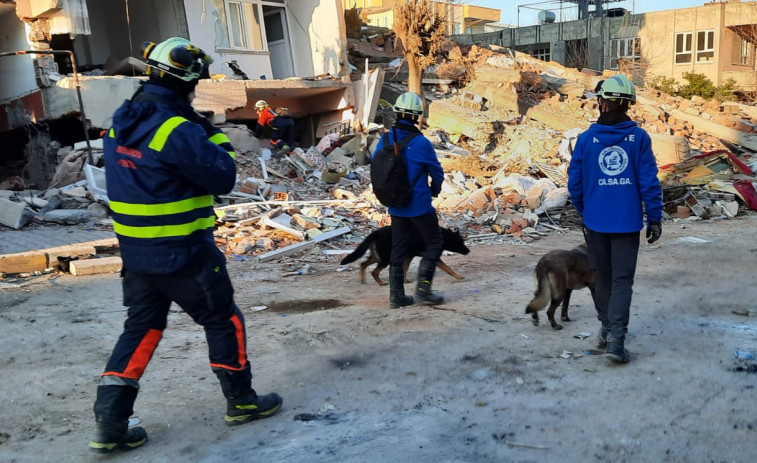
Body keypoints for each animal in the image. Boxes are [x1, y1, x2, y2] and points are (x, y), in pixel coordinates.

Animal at [340, 227, 470, 288]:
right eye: (461, 242)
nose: (468, 251)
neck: (444, 236)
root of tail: (375, 232)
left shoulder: (409, 255)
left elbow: (405, 268)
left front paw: (405, 280)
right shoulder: (434, 258)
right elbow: (448, 269)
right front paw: (458, 276)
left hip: (379, 257)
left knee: (363, 264)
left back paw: (363, 279)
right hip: (385, 258)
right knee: (374, 271)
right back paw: (381, 283)